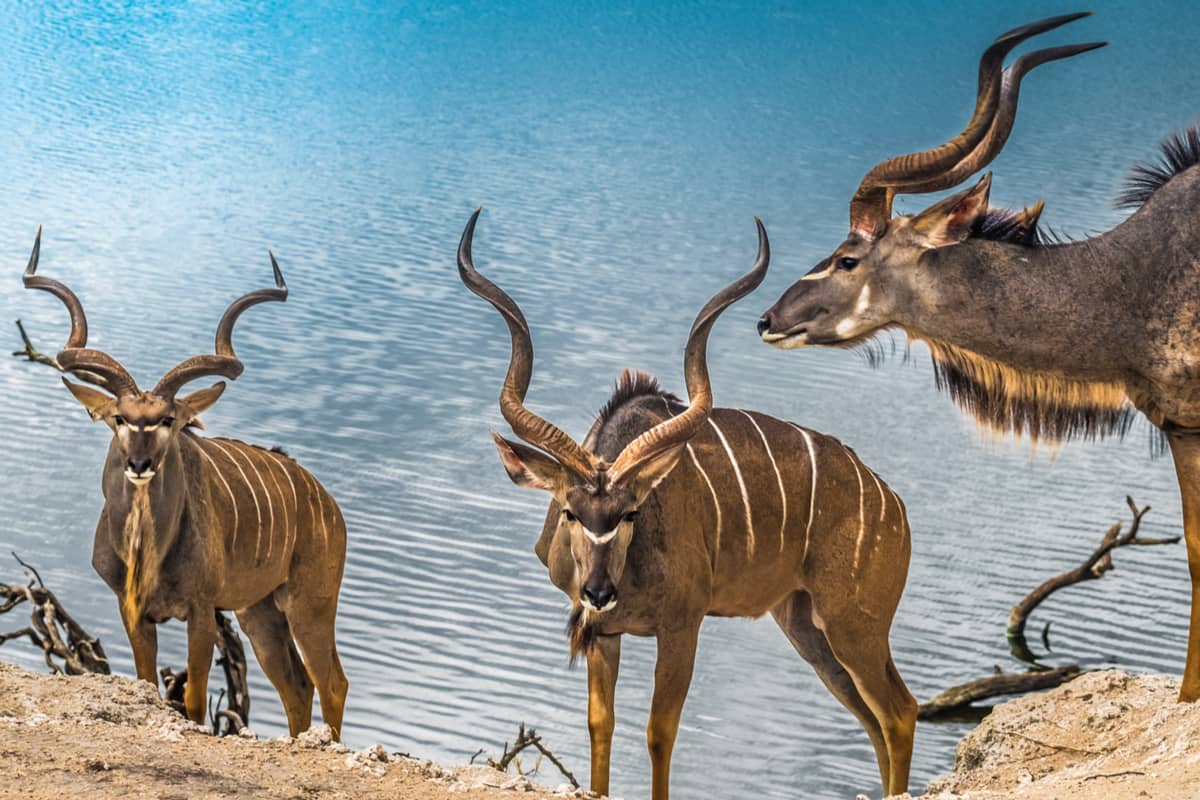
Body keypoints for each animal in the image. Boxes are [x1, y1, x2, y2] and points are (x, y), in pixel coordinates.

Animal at [22, 231, 348, 738]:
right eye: (120, 418)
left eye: (168, 420)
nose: (139, 463)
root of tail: (331, 505)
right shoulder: (133, 610)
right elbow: (146, 683)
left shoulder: (201, 610)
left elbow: (192, 699)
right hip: (259, 612)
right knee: (297, 686)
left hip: (309, 602)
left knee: (331, 681)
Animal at [458, 211, 916, 800]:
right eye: (570, 513)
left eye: (630, 513)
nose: (598, 592)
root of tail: (895, 508)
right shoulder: (605, 636)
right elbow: (600, 726)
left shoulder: (682, 625)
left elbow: (660, 731)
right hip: (808, 629)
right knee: (874, 720)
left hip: (853, 626)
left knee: (899, 712)